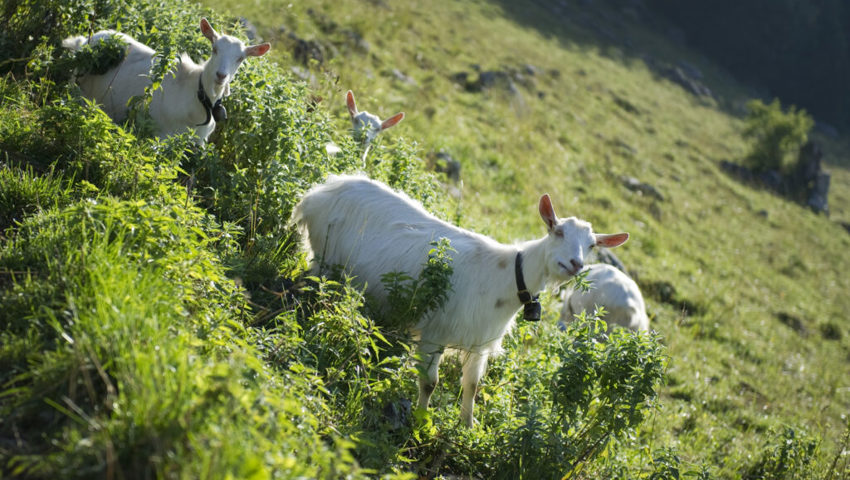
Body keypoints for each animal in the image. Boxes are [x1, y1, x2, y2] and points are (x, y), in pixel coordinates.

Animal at [62, 17, 268, 144]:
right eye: (214, 49)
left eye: (240, 58)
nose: (221, 75)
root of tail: (84, 41)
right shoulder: (161, 136)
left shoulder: (198, 143)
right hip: (79, 90)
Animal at [294, 174, 628, 426]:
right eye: (557, 231)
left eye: (592, 245)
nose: (575, 264)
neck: (505, 277)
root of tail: (319, 191)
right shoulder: (434, 332)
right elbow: (430, 382)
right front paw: (420, 419)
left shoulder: (479, 342)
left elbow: (472, 386)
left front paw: (468, 426)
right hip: (324, 260)